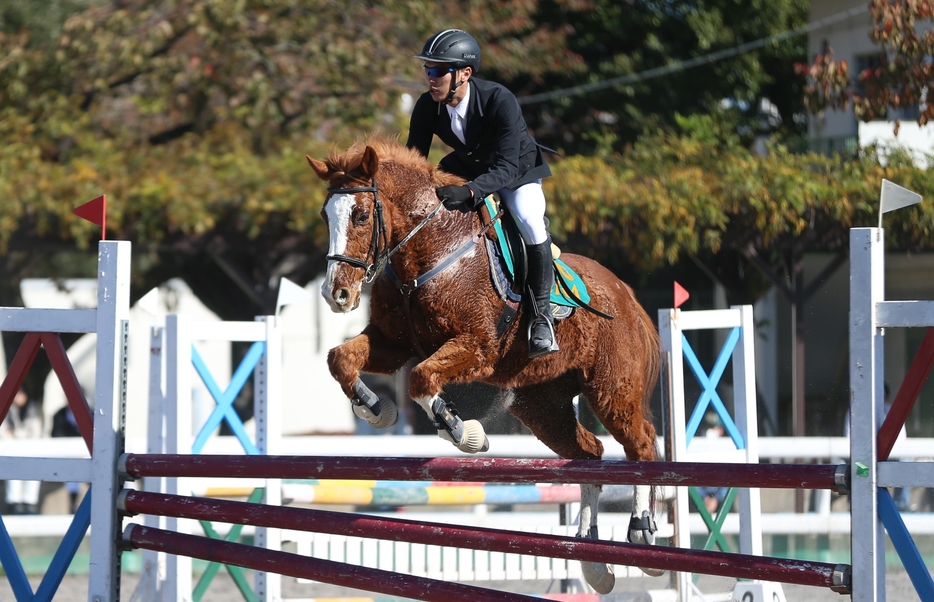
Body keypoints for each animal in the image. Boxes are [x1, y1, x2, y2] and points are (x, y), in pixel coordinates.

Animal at [310, 137, 660, 592]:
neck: (429, 252)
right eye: (325, 215)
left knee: (641, 443)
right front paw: (374, 409)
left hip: (611, 390)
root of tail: (626, 294)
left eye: (362, 215)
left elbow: (422, 379)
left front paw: (462, 432)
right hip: (541, 407)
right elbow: (340, 360)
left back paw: (642, 529)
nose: (336, 294)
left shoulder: (477, 347)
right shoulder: (392, 344)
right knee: (589, 452)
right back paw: (592, 556)